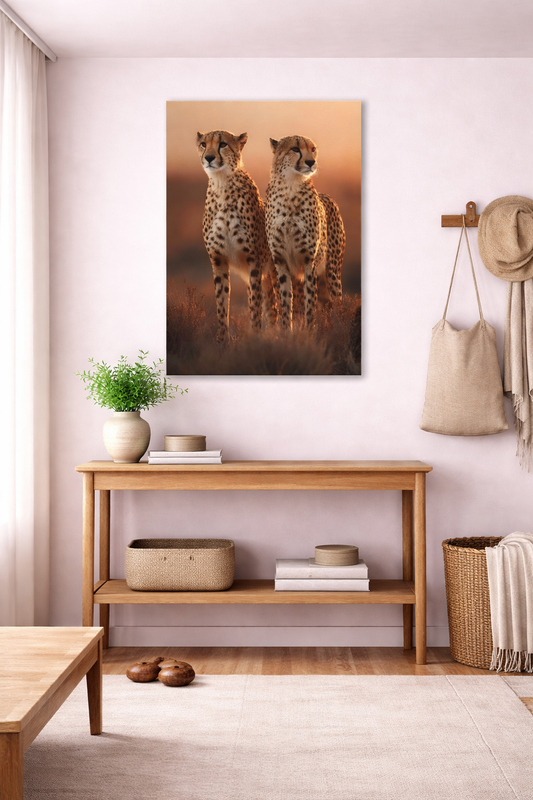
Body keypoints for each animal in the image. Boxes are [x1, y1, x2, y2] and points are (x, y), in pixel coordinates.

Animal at [197, 130, 278, 342]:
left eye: (223, 144)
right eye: (203, 144)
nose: (209, 158)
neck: (221, 185)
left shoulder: (254, 261)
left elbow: (256, 307)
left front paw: (256, 337)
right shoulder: (218, 260)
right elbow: (222, 303)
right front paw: (222, 340)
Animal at [265, 135, 345, 330]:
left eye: (313, 149)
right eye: (295, 149)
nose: (311, 162)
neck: (290, 189)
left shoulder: (310, 261)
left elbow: (310, 302)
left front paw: (310, 331)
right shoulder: (280, 261)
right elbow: (286, 302)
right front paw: (286, 332)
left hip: (332, 273)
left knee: (337, 303)